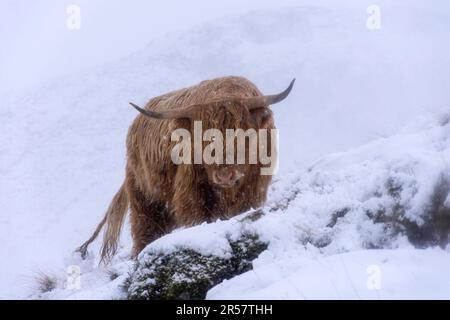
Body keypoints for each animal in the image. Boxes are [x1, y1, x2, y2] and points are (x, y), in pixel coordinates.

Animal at [76, 75, 296, 262]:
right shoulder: (191, 194)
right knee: (145, 232)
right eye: (201, 139)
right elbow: (196, 219)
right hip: (145, 198)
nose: (224, 175)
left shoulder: (253, 190)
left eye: (243, 135)